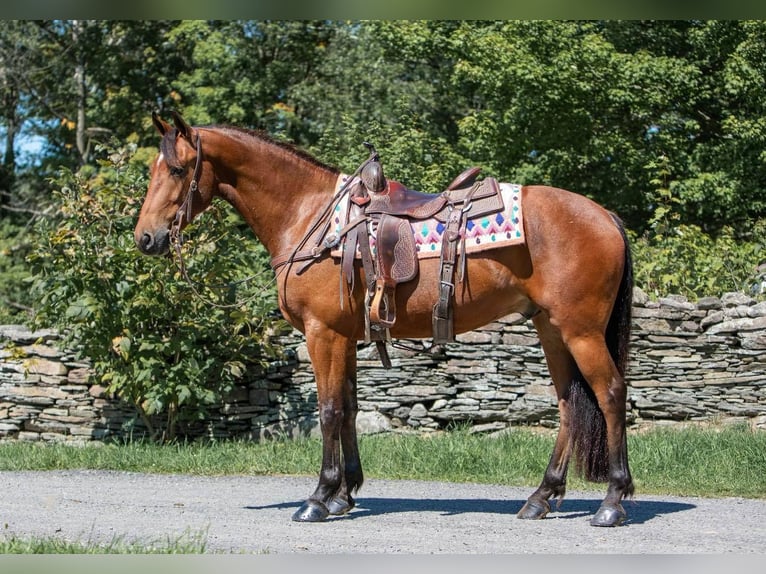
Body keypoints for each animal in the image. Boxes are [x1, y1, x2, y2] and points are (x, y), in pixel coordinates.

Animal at [136, 110, 636, 528]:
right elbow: (350, 407)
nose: (146, 238)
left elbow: (329, 410)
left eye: (178, 170)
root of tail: (606, 216)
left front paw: (318, 498)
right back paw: (541, 497)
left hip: (581, 331)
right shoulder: (346, 336)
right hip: (551, 329)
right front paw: (344, 494)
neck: (310, 216)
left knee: (611, 395)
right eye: (153, 170)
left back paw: (612, 502)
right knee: (570, 403)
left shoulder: (323, 334)